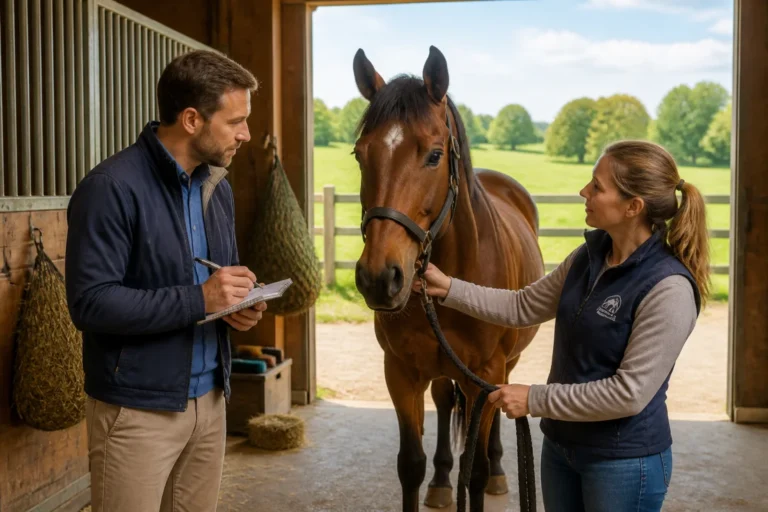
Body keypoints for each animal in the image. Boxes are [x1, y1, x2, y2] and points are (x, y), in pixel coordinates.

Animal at [352, 46, 544, 512]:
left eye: (435, 155)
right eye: (360, 155)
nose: (379, 277)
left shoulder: (484, 377)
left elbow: (473, 472)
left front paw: (486, 472)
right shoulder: (401, 372)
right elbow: (410, 465)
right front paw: (433, 477)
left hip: (503, 369)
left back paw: (499, 471)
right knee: (442, 403)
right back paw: (441, 482)